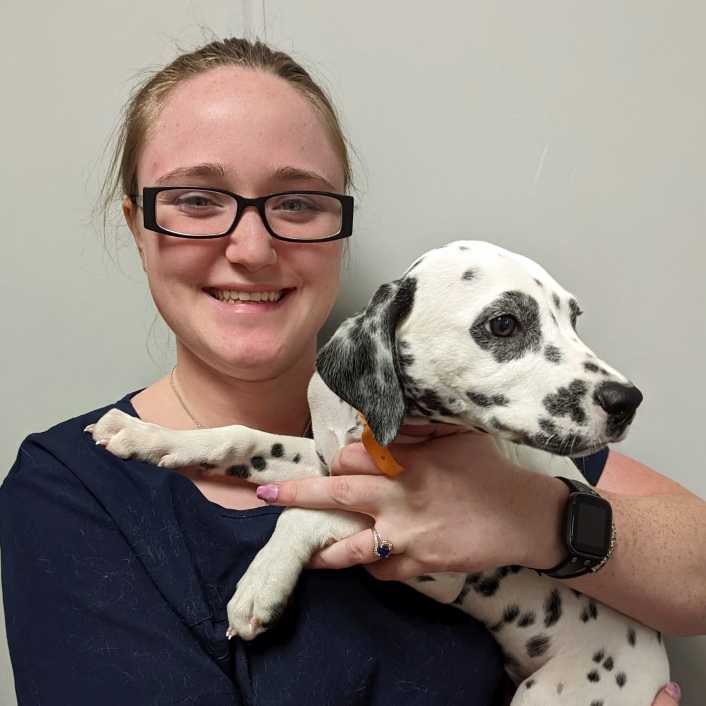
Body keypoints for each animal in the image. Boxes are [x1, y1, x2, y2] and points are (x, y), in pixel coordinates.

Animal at [91, 239, 668, 700]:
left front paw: (261, 583)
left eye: (573, 319)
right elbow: (242, 435)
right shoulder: (323, 459)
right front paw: (146, 436)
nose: (628, 401)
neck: (385, 430)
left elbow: (304, 514)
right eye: (504, 323)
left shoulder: (436, 560)